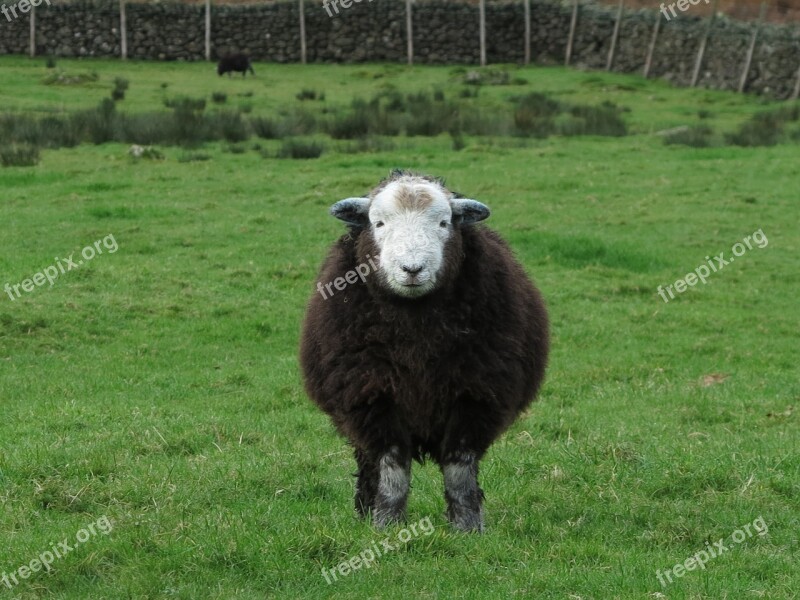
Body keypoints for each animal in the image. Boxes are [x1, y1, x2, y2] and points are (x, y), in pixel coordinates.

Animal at [300, 171, 552, 532]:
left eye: (444, 223)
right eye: (378, 223)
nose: (412, 269)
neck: (415, 330)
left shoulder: (476, 395)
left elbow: (459, 468)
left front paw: (467, 526)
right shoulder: (371, 396)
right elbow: (392, 467)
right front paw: (387, 525)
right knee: (367, 462)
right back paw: (365, 510)